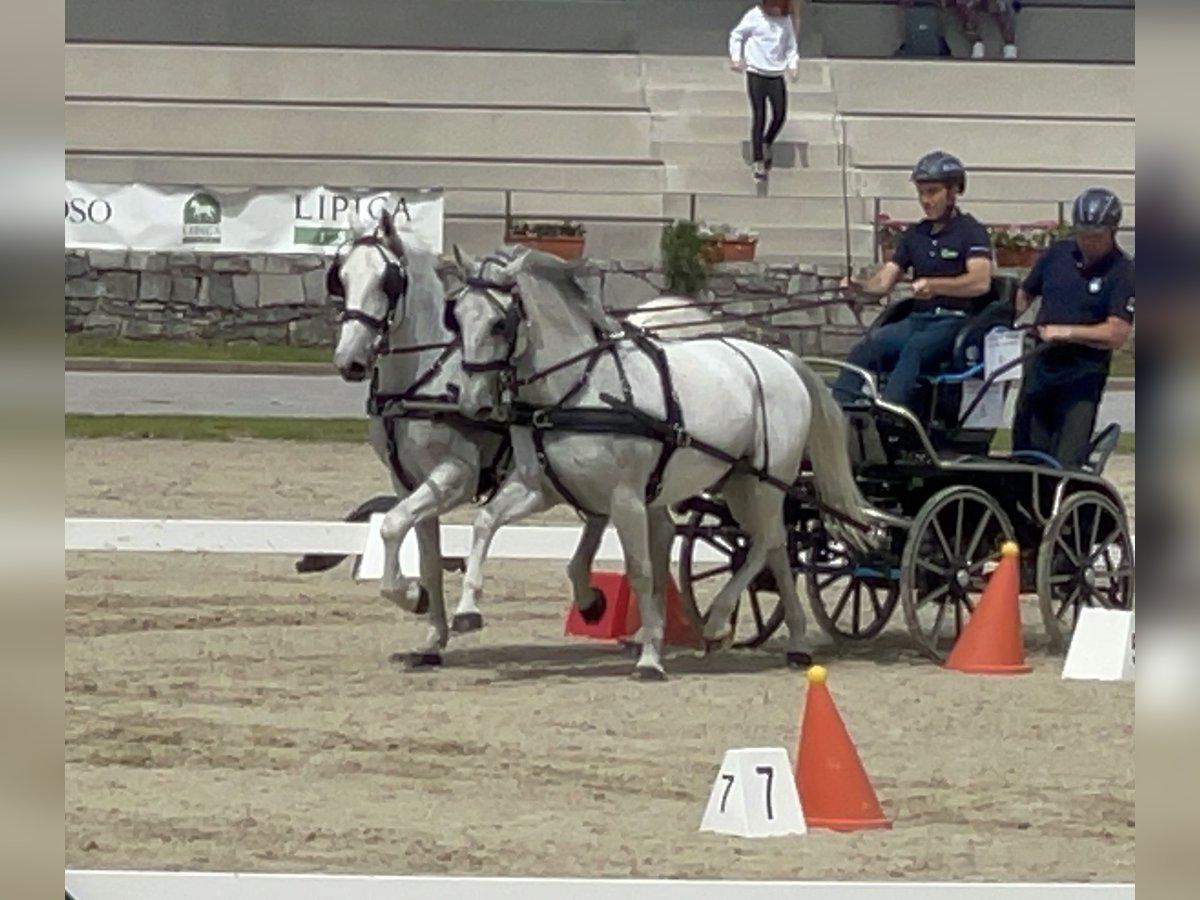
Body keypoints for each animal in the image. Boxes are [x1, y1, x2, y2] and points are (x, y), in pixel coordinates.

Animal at [326, 207, 720, 667]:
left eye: (388, 281)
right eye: (341, 277)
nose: (349, 360)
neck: (425, 377)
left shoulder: (455, 475)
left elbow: (391, 526)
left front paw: (410, 596)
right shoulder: (408, 481)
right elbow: (426, 555)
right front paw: (432, 639)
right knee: (646, 530)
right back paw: (623, 619)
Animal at [446, 243, 878, 681]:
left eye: (500, 323)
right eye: (457, 316)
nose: (471, 401)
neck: (578, 388)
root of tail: (782, 358)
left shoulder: (626, 499)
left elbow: (640, 571)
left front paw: (650, 657)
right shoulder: (539, 487)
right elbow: (487, 523)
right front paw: (469, 611)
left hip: (765, 482)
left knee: (766, 542)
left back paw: (717, 621)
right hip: (738, 483)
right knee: (773, 547)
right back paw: (797, 643)